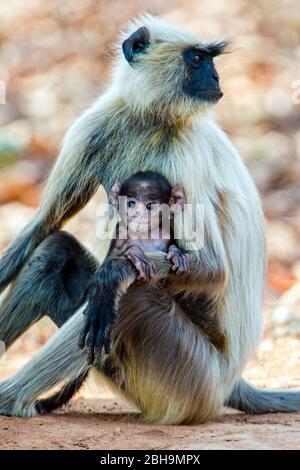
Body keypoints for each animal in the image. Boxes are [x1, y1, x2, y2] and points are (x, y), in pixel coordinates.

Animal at [78, 171, 189, 366]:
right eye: (131, 203)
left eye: (150, 206)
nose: (137, 214)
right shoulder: (120, 232)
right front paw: (134, 253)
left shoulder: (166, 234)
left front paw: (176, 253)